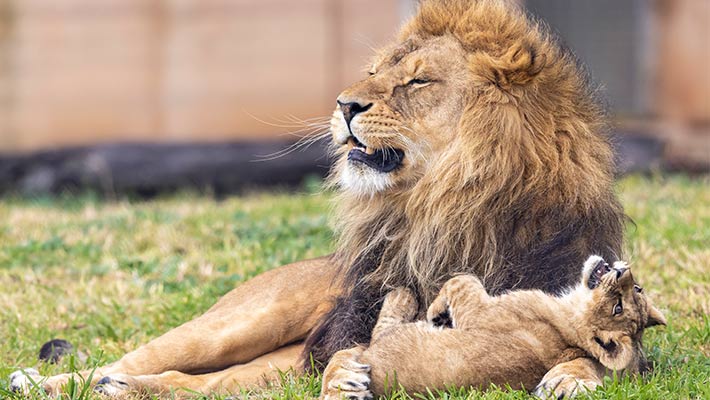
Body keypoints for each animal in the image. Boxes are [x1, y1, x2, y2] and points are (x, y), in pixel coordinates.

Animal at [8, 0, 624, 396]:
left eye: (418, 81)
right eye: (373, 72)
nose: (344, 104)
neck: (438, 211)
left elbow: (601, 355)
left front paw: (571, 377)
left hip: (266, 368)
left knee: (185, 384)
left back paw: (113, 387)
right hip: (239, 324)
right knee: (138, 358)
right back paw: (41, 381)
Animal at [322, 256, 668, 396]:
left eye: (618, 306)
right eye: (636, 290)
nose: (624, 272)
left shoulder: (479, 311)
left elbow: (462, 279)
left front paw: (437, 310)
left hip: (390, 337)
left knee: (381, 326)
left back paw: (403, 294)